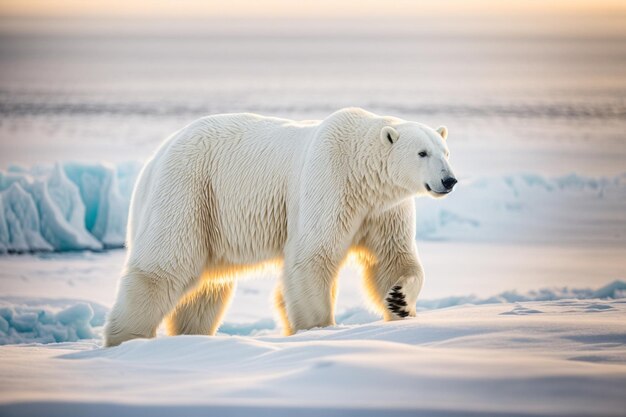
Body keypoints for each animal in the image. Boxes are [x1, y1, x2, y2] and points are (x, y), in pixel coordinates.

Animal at [102, 106, 454, 344]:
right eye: (422, 153)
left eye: (446, 151)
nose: (449, 180)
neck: (360, 173)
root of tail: (154, 158)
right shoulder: (329, 182)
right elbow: (312, 258)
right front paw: (318, 328)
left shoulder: (383, 209)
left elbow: (393, 259)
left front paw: (400, 302)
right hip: (190, 188)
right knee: (163, 266)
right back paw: (127, 337)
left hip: (209, 215)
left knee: (207, 289)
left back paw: (194, 335)